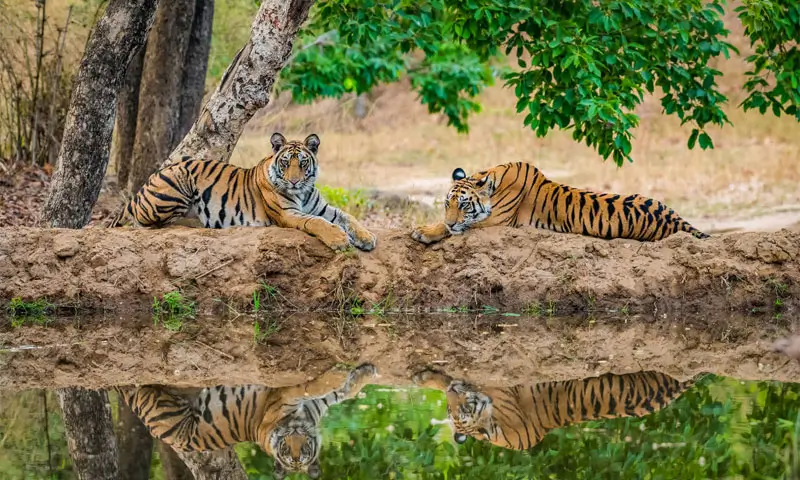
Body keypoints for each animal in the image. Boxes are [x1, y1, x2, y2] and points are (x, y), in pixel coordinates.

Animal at [106, 132, 377, 252]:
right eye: (285, 163)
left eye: (302, 163)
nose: (294, 182)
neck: (303, 192)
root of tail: (144, 185)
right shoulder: (288, 214)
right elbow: (318, 223)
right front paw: (339, 239)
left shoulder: (321, 207)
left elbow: (347, 217)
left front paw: (366, 237)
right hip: (177, 183)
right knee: (148, 223)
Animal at [115, 363, 377, 479]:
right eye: (286, 450)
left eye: (302, 452)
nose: (293, 448)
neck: (303, 420)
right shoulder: (284, 397)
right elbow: (322, 388)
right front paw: (351, 374)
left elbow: (336, 391)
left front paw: (359, 373)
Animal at [411, 162, 709, 244]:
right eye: (446, 204)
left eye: (463, 205)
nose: (452, 221)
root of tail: (676, 219)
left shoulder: (497, 221)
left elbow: (456, 227)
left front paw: (423, 231)